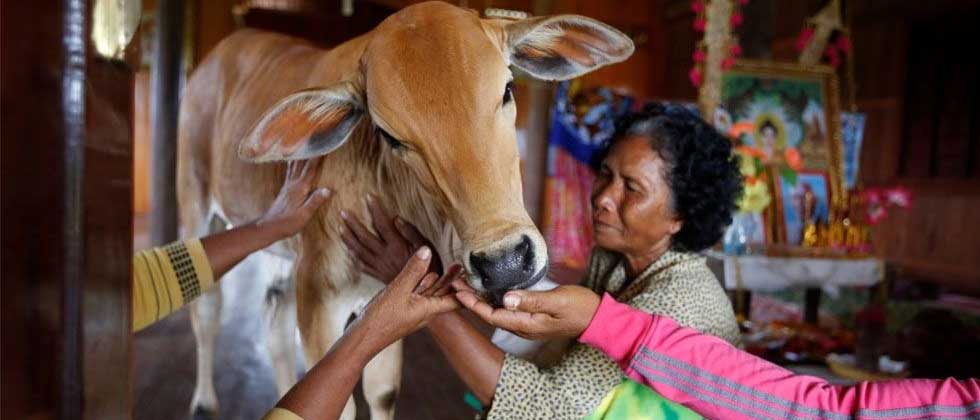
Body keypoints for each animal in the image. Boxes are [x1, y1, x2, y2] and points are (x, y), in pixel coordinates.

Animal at [176, 2, 633, 418]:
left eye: (507, 90)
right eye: (390, 136)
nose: (504, 263)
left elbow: (382, 391)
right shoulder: (320, 293)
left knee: (273, 325)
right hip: (196, 203)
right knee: (206, 304)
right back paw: (204, 401)